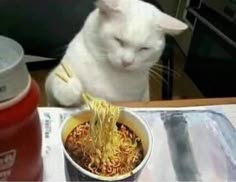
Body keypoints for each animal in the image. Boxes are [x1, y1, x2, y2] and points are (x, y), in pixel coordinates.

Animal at [45, 0, 187, 106]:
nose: (127, 62)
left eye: (144, 48)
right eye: (118, 40)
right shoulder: (51, 90)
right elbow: (57, 80)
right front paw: (69, 86)